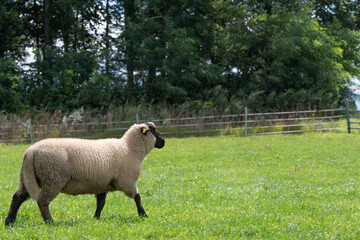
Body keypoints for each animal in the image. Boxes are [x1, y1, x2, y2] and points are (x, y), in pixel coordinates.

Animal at [4, 122, 165, 225]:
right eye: (154, 131)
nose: (163, 142)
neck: (130, 149)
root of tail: (31, 151)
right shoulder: (127, 181)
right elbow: (137, 197)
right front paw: (143, 215)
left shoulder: (102, 184)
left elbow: (101, 203)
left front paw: (96, 218)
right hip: (52, 179)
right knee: (42, 202)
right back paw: (50, 222)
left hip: (28, 178)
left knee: (17, 198)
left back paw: (9, 222)